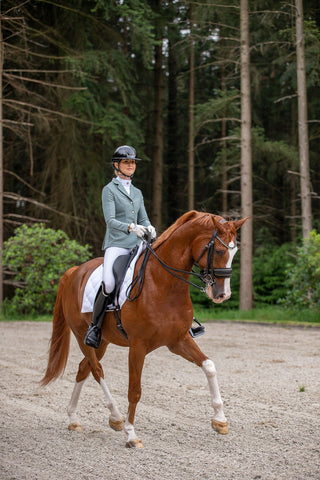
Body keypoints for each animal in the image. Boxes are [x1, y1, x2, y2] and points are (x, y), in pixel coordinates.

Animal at [41, 210, 246, 446]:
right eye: (220, 250)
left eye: (235, 251)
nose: (223, 295)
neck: (162, 283)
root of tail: (74, 271)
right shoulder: (137, 346)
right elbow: (134, 390)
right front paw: (131, 434)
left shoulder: (178, 340)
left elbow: (209, 366)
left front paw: (220, 420)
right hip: (82, 334)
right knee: (96, 369)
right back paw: (116, 417)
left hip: (101, 341)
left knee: (84, 368)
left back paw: (75, 419)